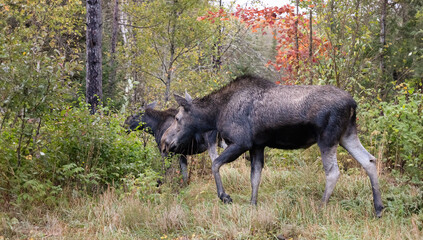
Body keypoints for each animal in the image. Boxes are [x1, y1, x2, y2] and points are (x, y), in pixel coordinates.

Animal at [161, 75, 384, 218]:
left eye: (178, 118)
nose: (164, 142)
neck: (215, 115)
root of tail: (353, 104)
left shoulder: (241, 142)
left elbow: (215, 164)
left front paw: (225, 196)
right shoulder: (257, 146)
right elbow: (255, 177)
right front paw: (252, 204)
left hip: (327, 138)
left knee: (333, 172)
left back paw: (321, 207)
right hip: (347, 135)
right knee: (369, 160)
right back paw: (378, 208)